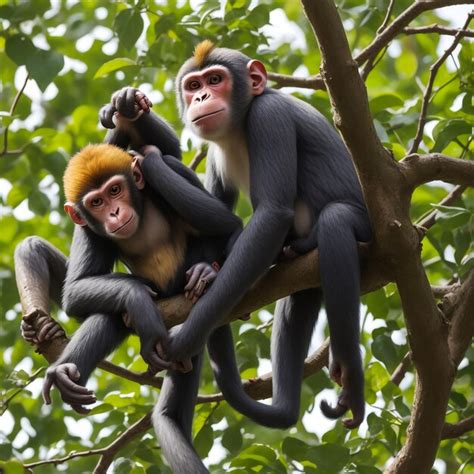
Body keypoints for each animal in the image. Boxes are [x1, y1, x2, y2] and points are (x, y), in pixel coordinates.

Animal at [165, 41, 372, 430]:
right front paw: (206, 269)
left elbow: (272, 213)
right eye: (193, 85)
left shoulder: (268, 117)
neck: (238, 128)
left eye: (215, 80)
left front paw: (186, 337)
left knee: (336, 222)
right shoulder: (215, 152)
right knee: (298, 302)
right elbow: (217, 217)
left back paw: (349, 372)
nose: (200, 97)